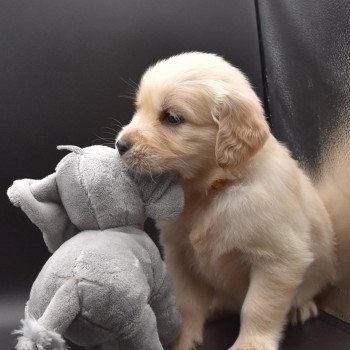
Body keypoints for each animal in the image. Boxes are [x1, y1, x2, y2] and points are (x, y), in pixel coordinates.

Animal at [116, 52, 338, 350]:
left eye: (172, 118)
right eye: (139, 109)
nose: (120, 145)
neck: (211, 191)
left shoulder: (278, 259)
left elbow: (257, 308)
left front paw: (251, 344)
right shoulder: (180, 256)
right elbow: (186, 305)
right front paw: (182, 340)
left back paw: (300, 308)